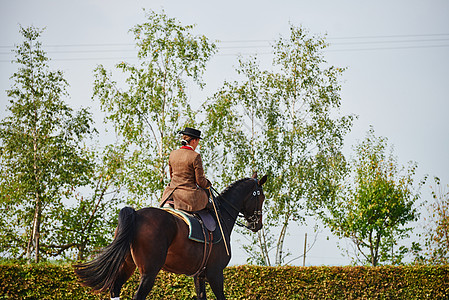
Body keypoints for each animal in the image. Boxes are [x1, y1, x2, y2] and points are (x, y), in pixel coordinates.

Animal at [73, 172, 266, 298]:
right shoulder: (215, 273)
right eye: (261, 197)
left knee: (115, 288)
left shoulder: (200, 275)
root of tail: (136, 214)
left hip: (127, 264)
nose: (257, 225)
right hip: (149, 272)